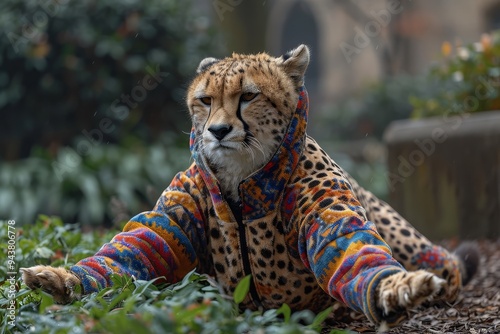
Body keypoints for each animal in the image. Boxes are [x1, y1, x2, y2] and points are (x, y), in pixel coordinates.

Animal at [21, 43, 478, 328]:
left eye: (248, 96)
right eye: (206, 100)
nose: (219, 131)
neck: (243, 181)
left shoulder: (325, 207)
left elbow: (350, 250)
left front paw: (394, 289)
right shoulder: (177, 211)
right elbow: (137, 248)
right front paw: (62, 279)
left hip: (421, 251)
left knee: (447, 264)